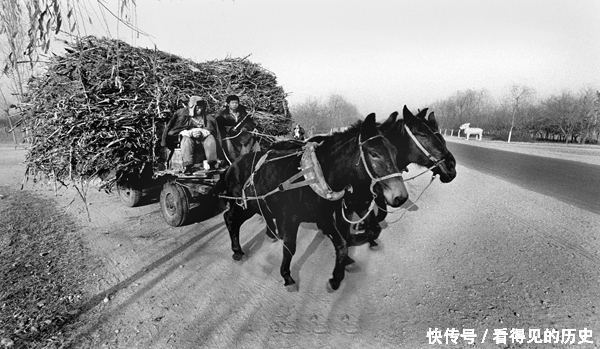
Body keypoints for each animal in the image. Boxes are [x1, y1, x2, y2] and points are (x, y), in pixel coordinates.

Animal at [213, 113, 406, 290]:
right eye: (374, 154)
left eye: (395, 152)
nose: (401, 196)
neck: (316, 174)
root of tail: (231, 166)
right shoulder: (292, 217)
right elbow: (290, 247)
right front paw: (286, 275)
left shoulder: (326, 215)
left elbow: (344, 242)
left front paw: (337, 276)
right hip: (243, 204)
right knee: (229, 218)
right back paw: (237, 251)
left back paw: (270, 235)